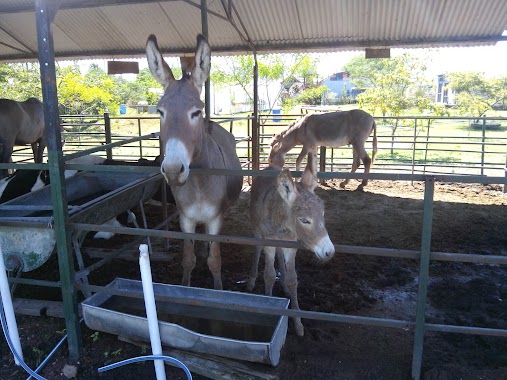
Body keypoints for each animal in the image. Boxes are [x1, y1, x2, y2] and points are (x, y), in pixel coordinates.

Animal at [146, 34, 243, 290]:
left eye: (196, 112)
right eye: (160, 112)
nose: (172, 170)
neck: (199, 182)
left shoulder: (216, 219)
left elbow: (215, 261)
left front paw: (218, 290)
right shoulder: (186, 219)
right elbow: (188, 260)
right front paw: (186, 286)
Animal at [249, 151, 336, 336]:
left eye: (323, 214)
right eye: (304, 220)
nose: (329, 252)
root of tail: (270, 167)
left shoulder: (291, 244)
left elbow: (292, 279)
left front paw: (298, 323)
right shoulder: (268, 241)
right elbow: (269, 275)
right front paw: (268, 303)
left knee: (280, 257)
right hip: (257, 230)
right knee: (257, 249)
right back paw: (251, 280)